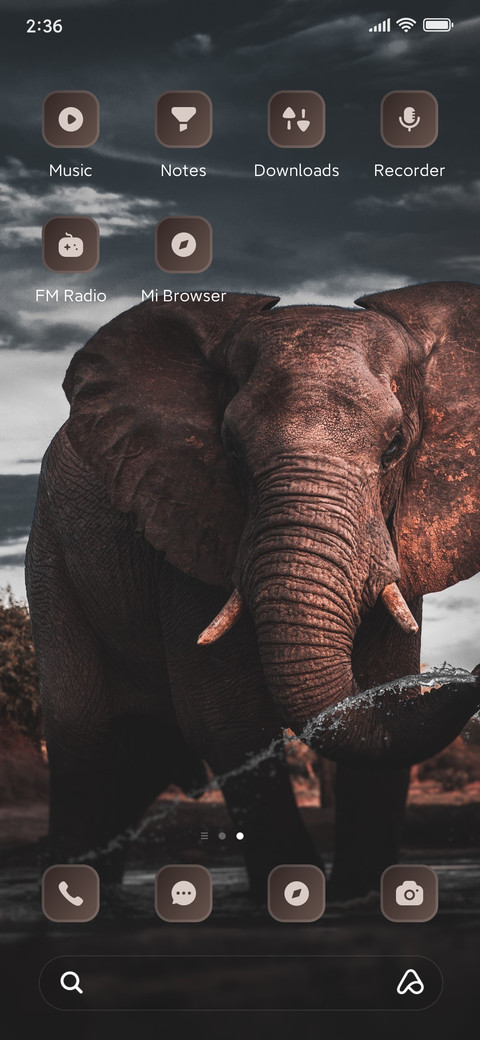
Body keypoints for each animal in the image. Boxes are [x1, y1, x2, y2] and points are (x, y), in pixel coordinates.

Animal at [25, 282, 480, 900]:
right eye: (231, 448)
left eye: (396, 447)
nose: (465, 678)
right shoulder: (187, 521)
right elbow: (226, 719)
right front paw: (299, 893)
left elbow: (383, 693)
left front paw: (360, 897)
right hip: (52, 558)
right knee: (84, 740)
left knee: (145, 756)